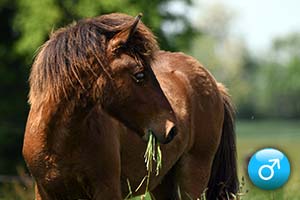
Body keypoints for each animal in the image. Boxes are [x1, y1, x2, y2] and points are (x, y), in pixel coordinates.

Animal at [22, 13, 237, 199]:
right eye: (140, 75)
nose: (171, 128)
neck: (59, 142)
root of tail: (214, 85)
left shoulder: (106, 190)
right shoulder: (44, 192)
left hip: (194, 173)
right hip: (162, 182)